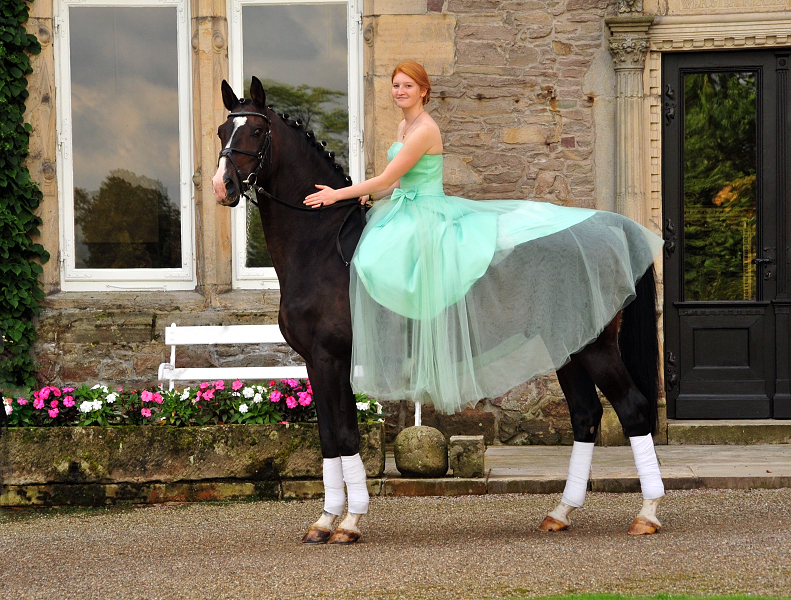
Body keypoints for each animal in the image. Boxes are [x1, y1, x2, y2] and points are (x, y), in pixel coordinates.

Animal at [213, 77, 664, 540]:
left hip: (594, 347)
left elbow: (345, 437)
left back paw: (646, 514)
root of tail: (611, 226)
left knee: (632, 408)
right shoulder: (317, 362)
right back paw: (561, 512)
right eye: (221, 132)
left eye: (256, 132)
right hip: (567, 346)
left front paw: (349, 521)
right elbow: (328, 437)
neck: (322, 245)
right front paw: (325, 520)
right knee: (585, 415)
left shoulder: (330, 358)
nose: (221, 185)